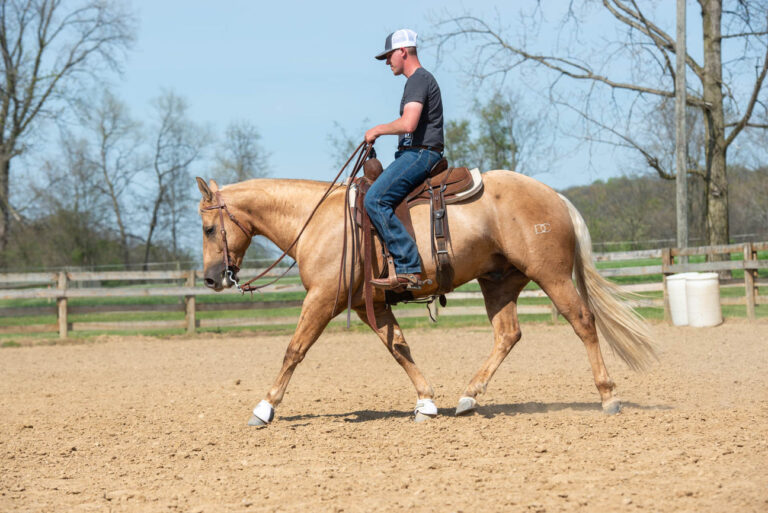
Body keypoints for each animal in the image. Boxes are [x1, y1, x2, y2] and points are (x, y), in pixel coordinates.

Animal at [196, 169, 656, 426]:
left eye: (207, 228)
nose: (212, 278)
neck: (319, 221)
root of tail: (554, 195)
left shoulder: (323, 299)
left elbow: (294, 350)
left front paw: (264, 408)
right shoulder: (369, 304)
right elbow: (399, 347)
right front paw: (426, 402)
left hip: (553, 275)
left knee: (583, 321)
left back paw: (608, 396)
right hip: (499, 282)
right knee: (507, 334)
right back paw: (468, 398)